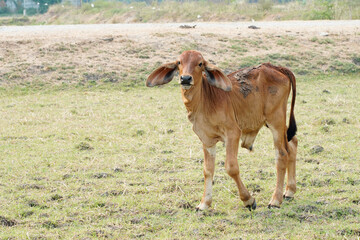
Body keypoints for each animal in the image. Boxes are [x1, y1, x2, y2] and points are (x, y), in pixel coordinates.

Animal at [146, 50, 298, 210]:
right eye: (179, 62)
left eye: (200, 63)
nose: (185, 78)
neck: (205, 100)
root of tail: (276, 67)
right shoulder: (207, 140)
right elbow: (208, 170)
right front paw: (204, 203)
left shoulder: (233, 133)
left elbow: (231, 168)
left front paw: (248, 200)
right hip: (277, 125)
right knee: (292, 143)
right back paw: (289, 191)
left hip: (276, 121)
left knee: (282, 154)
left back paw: (275, 200)